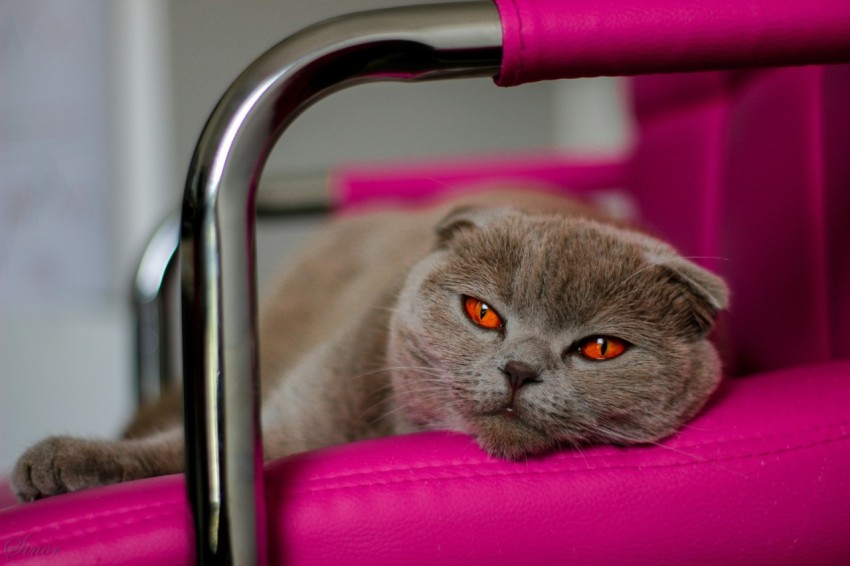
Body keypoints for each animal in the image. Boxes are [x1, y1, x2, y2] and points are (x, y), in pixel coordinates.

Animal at [8, 190, 728, 502]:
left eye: (600, 348)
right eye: (482, 313)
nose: (520, 369)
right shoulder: (305, 410)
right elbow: (186, 450)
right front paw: (59, 461)